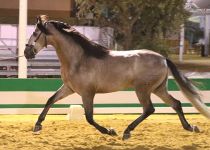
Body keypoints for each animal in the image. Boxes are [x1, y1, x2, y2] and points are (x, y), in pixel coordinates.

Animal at [23, 15, 209, 139]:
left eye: (35, 33)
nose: (26, 52)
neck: (78, 58)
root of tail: (163, 58)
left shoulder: (87, 93)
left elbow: (89, 117)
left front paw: (110, 131)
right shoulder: (69, 88)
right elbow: (50, 100)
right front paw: (37, 125)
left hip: (143, 89)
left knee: (149, 109)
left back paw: (127, 132)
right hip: (158, 89)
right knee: (175, 104)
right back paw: (190, 127)